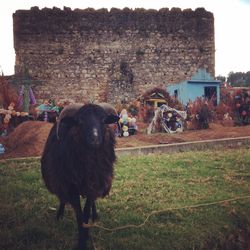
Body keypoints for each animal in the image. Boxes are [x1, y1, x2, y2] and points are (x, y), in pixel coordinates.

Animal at [40, 103, 119, 248]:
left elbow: (86, 211)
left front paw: (86, 234)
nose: (95, 139)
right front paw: (82, 241)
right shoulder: (70, 187)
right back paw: (59, 215)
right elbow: (79, 214)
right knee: (62, 198)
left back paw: (95, 215)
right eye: (80, 120)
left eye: (104, 120)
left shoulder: (93, 184)